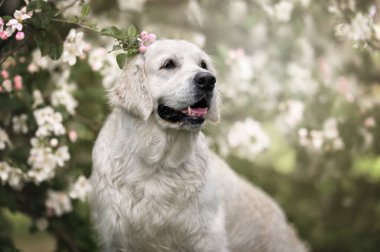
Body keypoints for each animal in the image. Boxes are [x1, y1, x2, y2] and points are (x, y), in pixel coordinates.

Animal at [90, 39, 308, 252]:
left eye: (203, 65)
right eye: (168, 64)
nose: (208, 80)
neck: (157, 162)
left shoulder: (208, 238)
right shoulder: (116, 236)